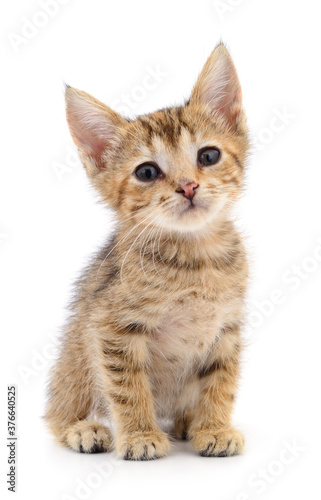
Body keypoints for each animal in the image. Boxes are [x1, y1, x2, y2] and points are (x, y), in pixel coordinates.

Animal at [45, 45, 249, 458]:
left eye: (208, 156)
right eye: (147, 173)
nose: (188, 186)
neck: (196, 258)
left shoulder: (227, 327)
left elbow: (221, 381)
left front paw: (215, 427)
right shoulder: (113, 327)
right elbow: (128, 386)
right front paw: (139, 435)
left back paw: (187, 421)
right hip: (74, 359)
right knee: (56, 412)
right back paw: (83, 428)